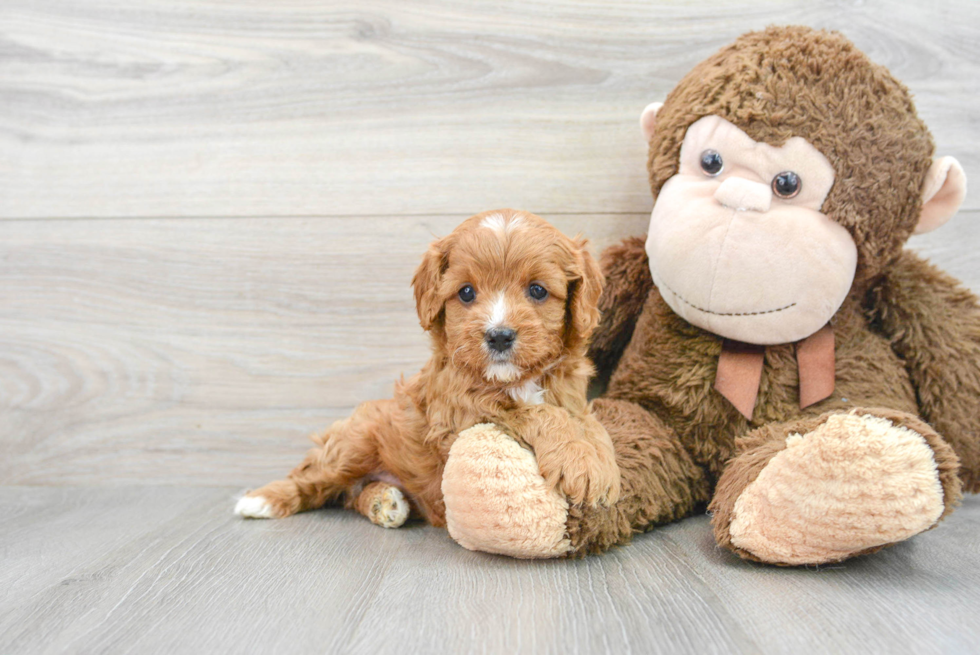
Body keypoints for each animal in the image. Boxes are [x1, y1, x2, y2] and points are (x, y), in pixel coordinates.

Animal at [235, 213, 620, 532]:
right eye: (466, 292)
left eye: (537, 290)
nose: (498, 335)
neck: (514, 379)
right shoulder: (458, 421)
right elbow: (539, 413)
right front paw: (582, 463)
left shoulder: (571, 399)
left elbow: (591, 425)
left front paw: (603, 467)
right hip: (354, 443)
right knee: (312, 476)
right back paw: (261, 500)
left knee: (350, 494)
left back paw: (383, 502)